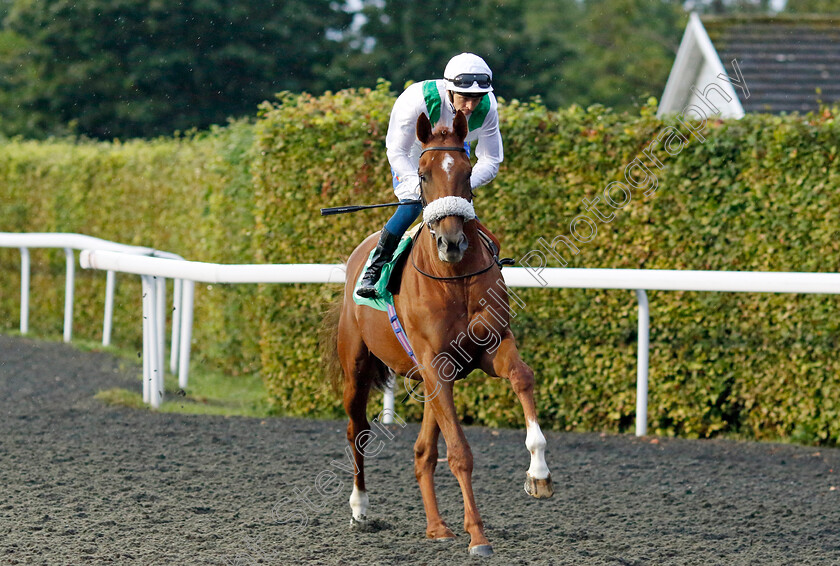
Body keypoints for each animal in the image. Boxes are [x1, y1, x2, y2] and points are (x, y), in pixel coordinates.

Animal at [326, 111, 552, 560]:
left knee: (422, 453)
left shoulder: (487, 348)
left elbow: (522, 376)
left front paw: (538, 473)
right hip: (357, 369)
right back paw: (360, 508)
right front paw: (479, 536)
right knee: (357, 431)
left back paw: (437, 527)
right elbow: (459, 453)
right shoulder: (434, 362)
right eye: (423, 174)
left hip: (432, 379)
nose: (451, 242)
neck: (454, 278)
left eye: (466, 170)